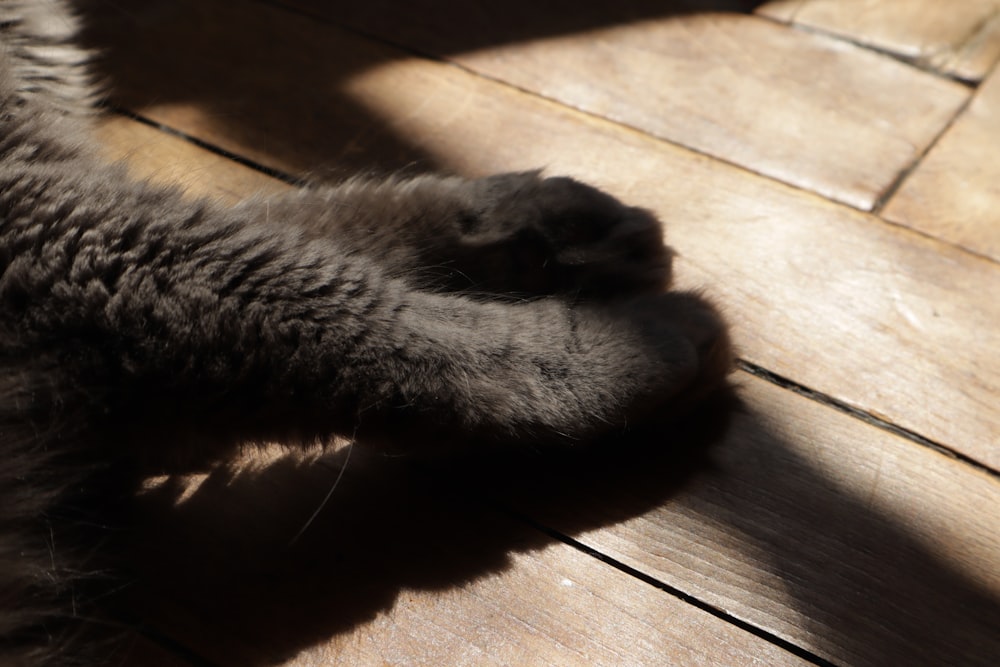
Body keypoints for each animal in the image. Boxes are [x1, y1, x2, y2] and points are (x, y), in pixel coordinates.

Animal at [0, 2, 732, 664]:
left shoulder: (64, 190)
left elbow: (323, 221)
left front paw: (556, 231)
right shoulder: (64, 225)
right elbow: (365, 299)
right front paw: (635, 338)